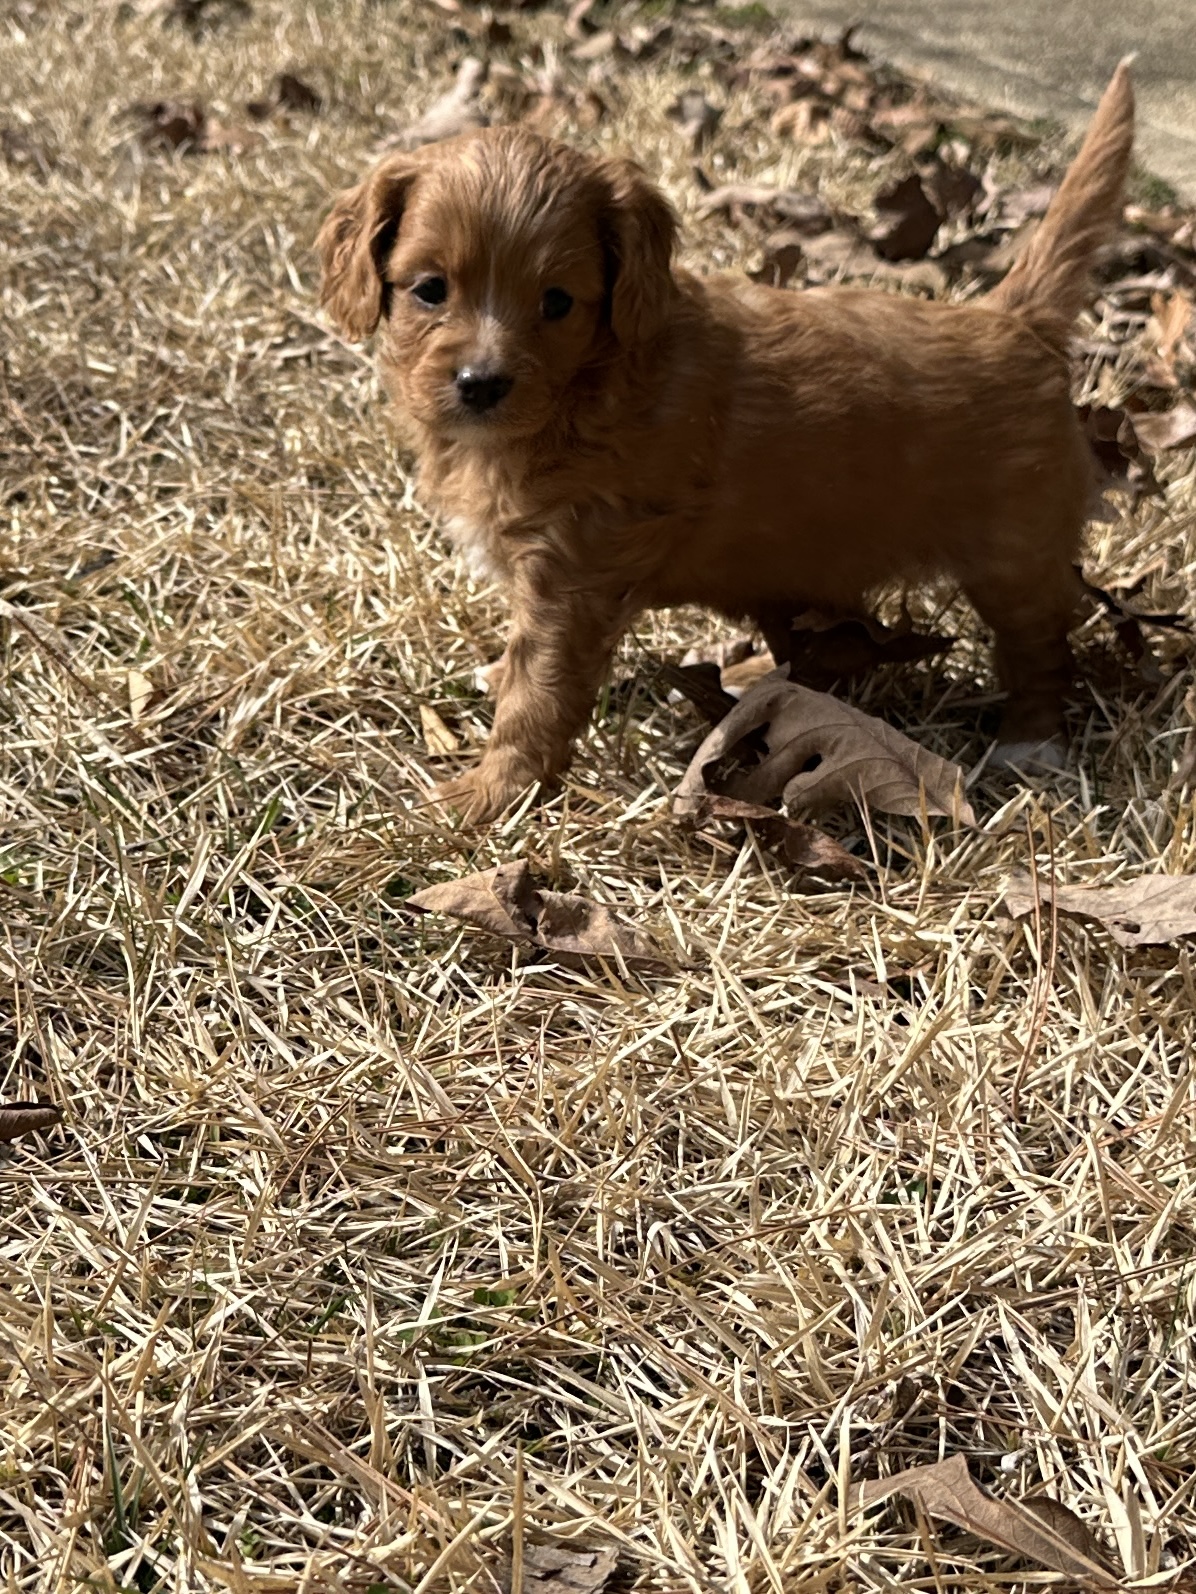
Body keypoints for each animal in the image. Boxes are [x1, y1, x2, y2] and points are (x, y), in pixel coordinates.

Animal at [317, 62, 1134, 822]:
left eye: (557, 303)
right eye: (429, 289)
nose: (481, 384)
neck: (586, 385)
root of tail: (1013, 317)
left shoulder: (575, 574)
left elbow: (539, 690)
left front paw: (492, 792)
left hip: (1013, 551)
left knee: (1040, 645)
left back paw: (1032, 744)